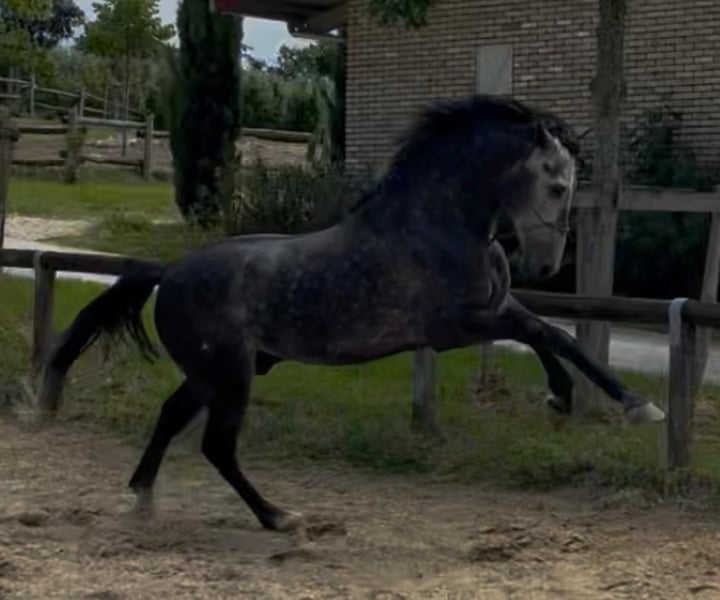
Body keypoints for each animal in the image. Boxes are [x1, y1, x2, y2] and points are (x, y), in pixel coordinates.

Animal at [37, 94, 665, 532]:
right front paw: (610, 404)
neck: (435, 225)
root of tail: (167, 275)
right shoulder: (453, 327)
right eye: (557, 186)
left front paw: (595, 400)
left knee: (170, 416)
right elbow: (541, 331)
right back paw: (279, 518)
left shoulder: (492, 308)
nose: (546, 264)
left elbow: (556, 336)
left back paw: (143, 498)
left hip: (214, 373)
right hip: (230, 376)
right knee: (217, 446)